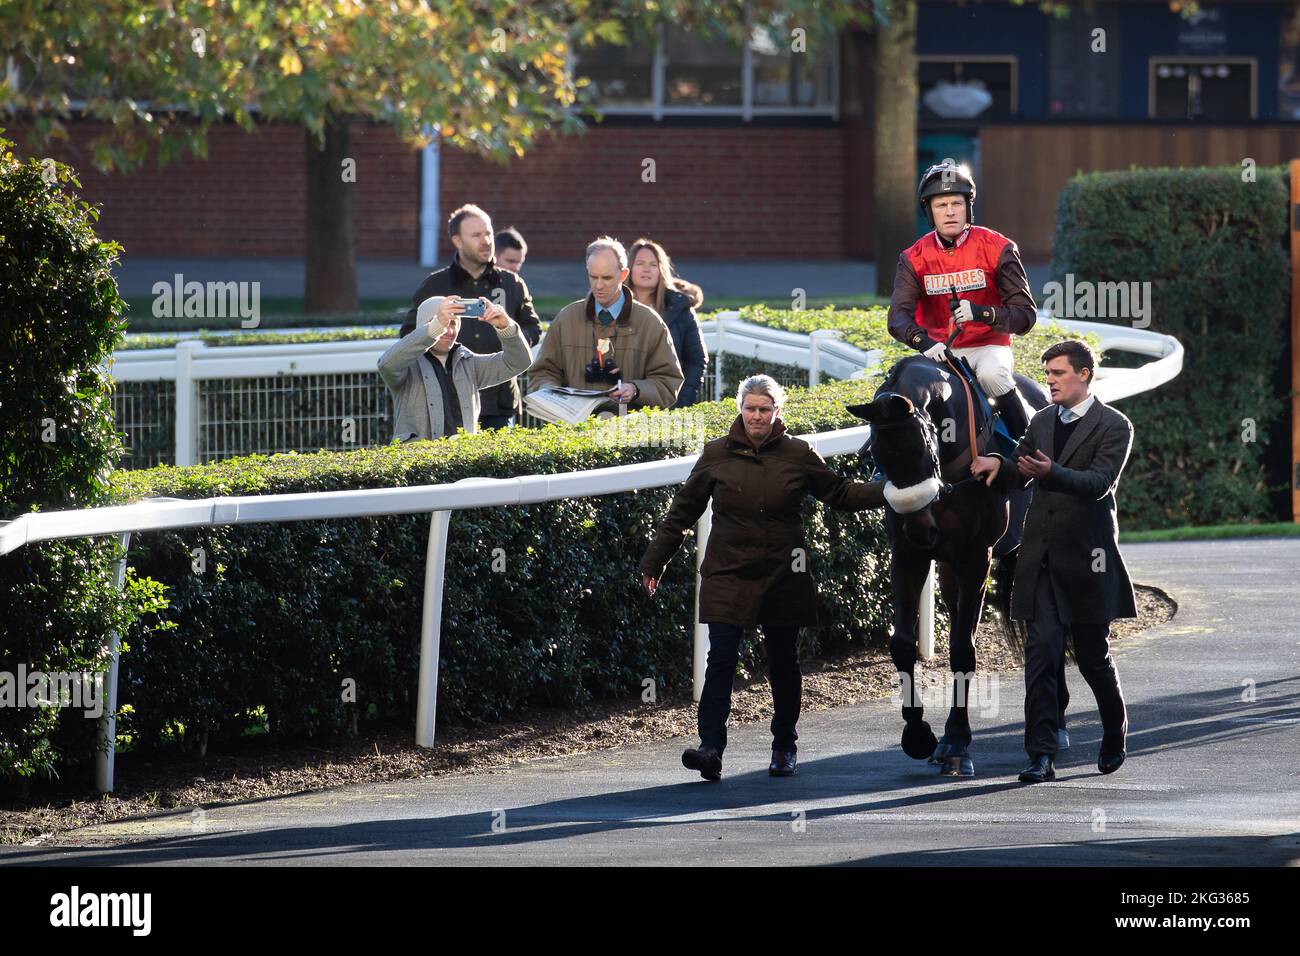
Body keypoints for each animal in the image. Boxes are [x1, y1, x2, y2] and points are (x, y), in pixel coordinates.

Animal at [847, 356, 1050, 775]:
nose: (922, 528)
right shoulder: (907, 554)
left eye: (923, 448)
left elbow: (962, 648)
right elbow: (902, 643)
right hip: (948, 568)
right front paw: (919, 734)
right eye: (876, 454)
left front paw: (957, 742)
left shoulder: (977, 556)